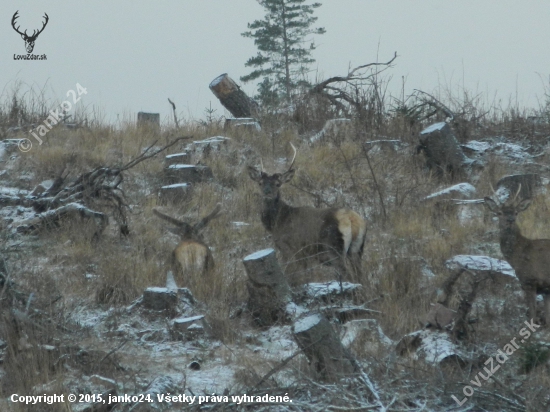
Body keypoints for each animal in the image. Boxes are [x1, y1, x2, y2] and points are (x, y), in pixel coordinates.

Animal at [249, 142, 368, 284]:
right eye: (260, 183)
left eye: (278, 184)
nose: (267, 192)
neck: (277, 222)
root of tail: (352, 219)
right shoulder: (305, 255)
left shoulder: (291, 249)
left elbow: (295, 277)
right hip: (357, 250)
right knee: (361, 276)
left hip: (334, 248)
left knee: (348, 275)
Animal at [488, 186, 550, 326]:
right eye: (499, 213)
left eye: (516, 212)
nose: (510, 220)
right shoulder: (545, 288)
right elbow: (547, 318)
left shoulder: (529, 280)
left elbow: (532, 314)